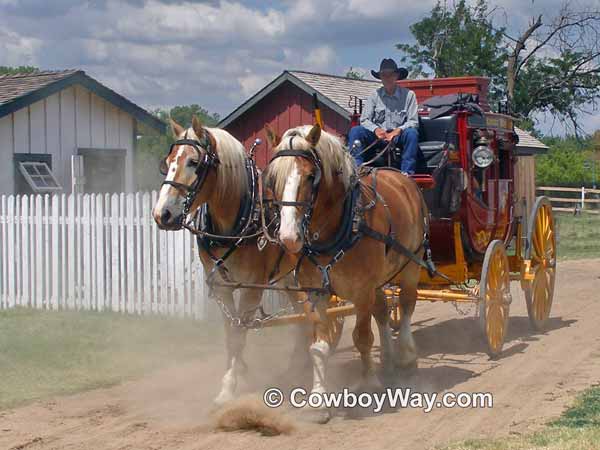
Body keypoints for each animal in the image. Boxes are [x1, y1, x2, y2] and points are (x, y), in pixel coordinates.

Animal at [152, 115, 310, 404]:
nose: (162, 214)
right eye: (168, 162)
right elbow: (231, 332)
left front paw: (229, 385)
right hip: (289, 279)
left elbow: (239, 334)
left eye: (194, 162)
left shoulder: (252, 288)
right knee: (304, 315)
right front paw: (238, 372)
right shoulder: (222, 287)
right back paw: (298, 365)